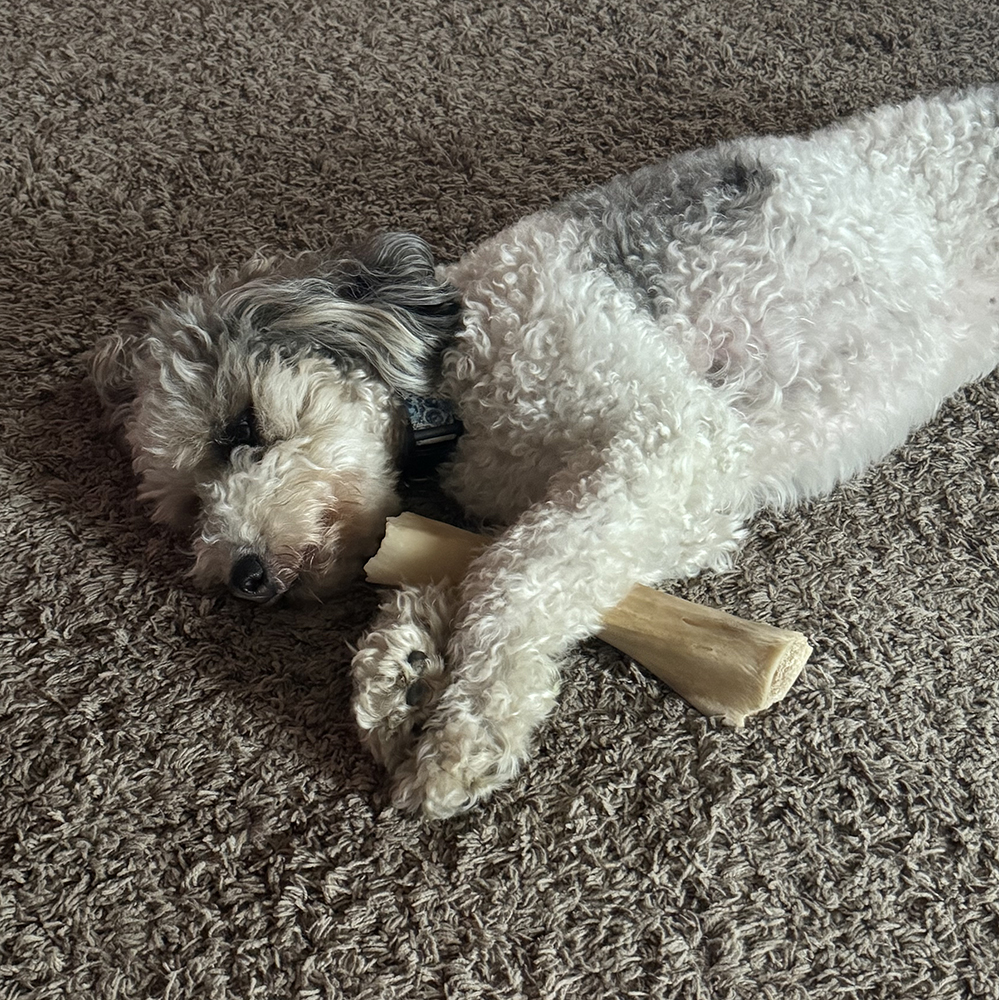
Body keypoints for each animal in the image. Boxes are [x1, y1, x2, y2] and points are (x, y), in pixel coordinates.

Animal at [90, 86, 999, 817]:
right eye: (188, 507)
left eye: (240, 430)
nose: (241, 574)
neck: (459, 388)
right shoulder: (660, 498)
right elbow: (496, 561)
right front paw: (403, 663)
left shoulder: (670, 443)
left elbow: (513, 571)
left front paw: (465, 727)